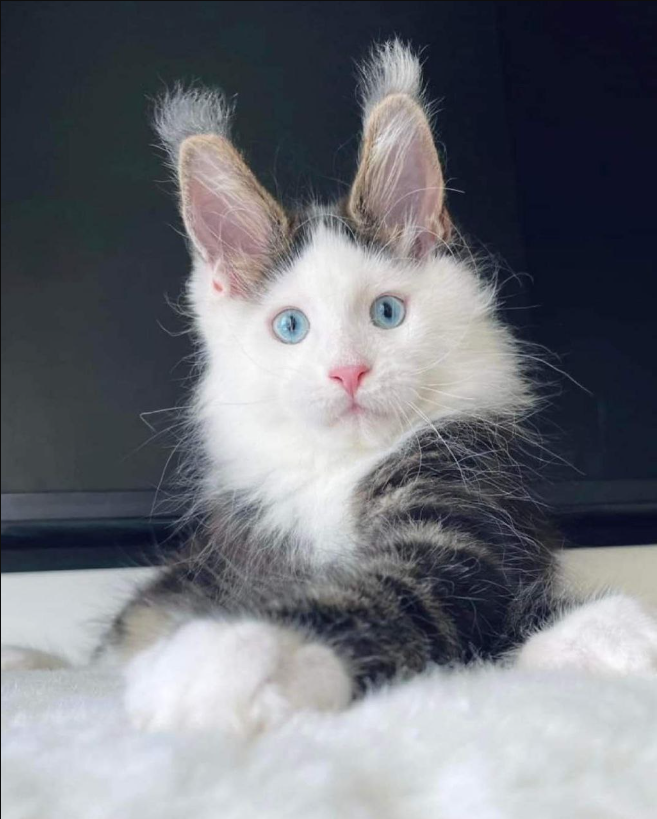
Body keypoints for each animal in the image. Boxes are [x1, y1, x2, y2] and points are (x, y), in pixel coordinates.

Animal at [2, 40, 652, 736]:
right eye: (291, 326)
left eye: (387, 314)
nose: (348, 372)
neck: (334, 471)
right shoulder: (243, 549)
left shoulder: (465, 516)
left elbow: (402, 591)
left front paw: (242, 653)